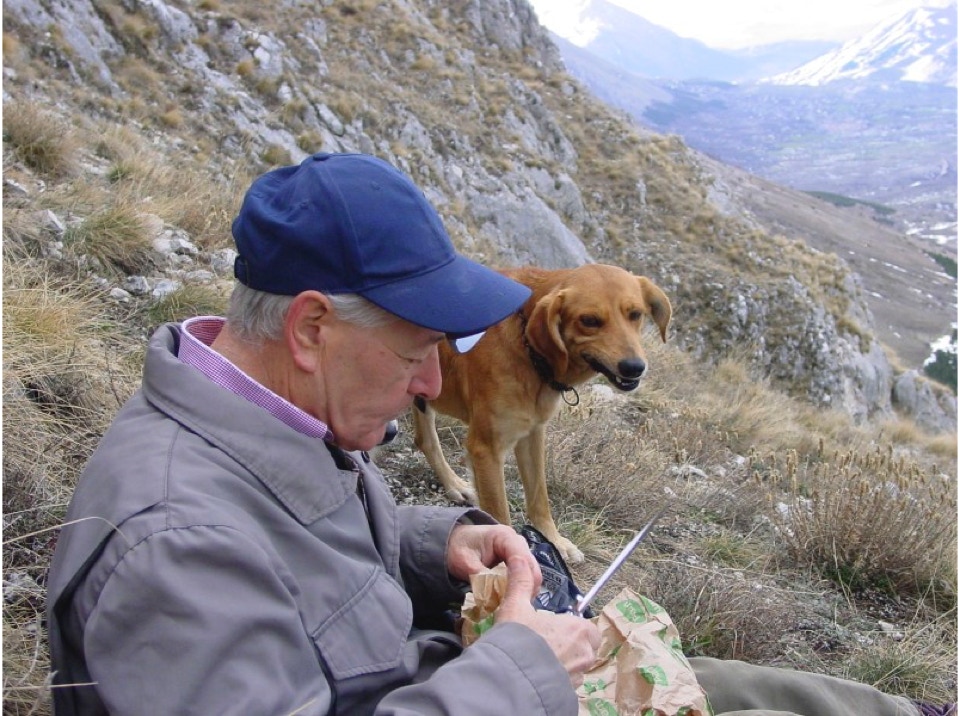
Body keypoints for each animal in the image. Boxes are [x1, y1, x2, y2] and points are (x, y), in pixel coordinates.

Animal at [413, 264, 671, 563]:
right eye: (589, 320)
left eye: (635, 314)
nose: (634, 367)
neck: (528, 348)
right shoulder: (486, 449)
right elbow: (500, 515)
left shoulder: (533, 433)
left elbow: (539, 497)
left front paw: (554, 541)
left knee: (425, 440)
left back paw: (453, 483)